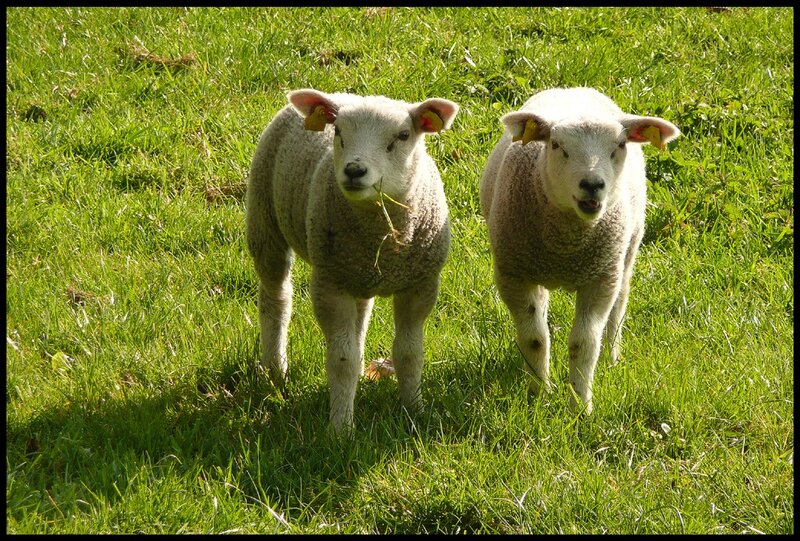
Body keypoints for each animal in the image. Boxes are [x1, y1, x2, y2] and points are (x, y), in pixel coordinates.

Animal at [246, 88, 459, 434]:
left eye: (403, 135)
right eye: (338, 132)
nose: (355, 171)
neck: (381, 235)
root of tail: (339, 93)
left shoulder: (420, 285)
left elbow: (409, 353)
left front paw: (414, 411)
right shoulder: (330, 285)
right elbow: (341, 360)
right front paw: (341, 429)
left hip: (356, 273)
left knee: (360, 318)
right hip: (264, 219)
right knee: (275, 298)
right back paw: (276, 368)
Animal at [480, 87, 680, 413]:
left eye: (620, 145)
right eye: (556, 145)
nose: (592, 184)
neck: (567, 247)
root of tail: (573, 88)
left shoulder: (600, 279)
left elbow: (584, 343)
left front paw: (580, 406)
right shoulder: (513, 274)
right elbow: (534, 338)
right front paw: (538, 395)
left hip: (626, 253)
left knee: (618, 307)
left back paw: (612, 357)